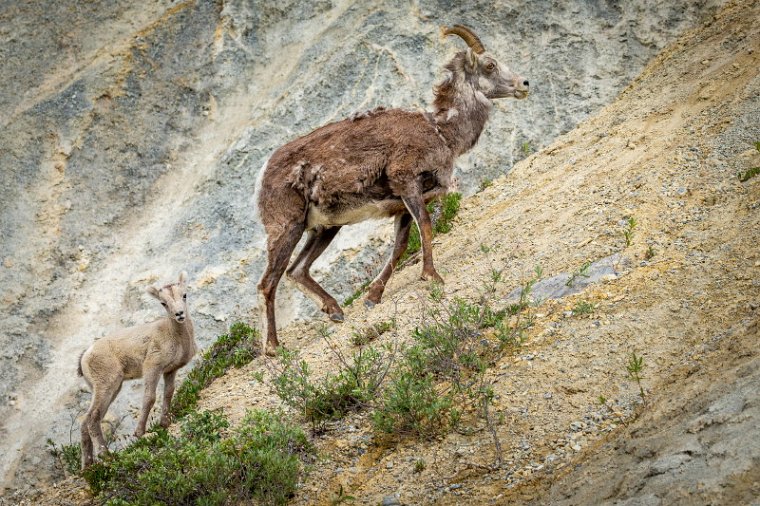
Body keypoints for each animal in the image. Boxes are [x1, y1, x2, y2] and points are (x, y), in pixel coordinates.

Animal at [76, 272, 196, 466]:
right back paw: (105, 455)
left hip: (111, 388)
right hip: (106, 384)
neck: (175, 337)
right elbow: (149, 398)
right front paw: (139, 432)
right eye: (163, 303)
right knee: (92, 417)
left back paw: (88, 465)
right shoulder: (152, 368)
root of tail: (85, 356)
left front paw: (165, 422)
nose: (179, 314)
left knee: (87, 420)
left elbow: (168, 392)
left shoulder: (170, 370)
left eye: (184, 295)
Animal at [255, 25, 528, 354]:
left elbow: (399, 247)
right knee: (269, 281)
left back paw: (336, 312)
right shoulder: (406, 182)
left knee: (296, 271)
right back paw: (273, 347)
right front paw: (432, 276)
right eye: (489, 65)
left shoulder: (403, 205)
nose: (524, 84)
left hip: (324, 229)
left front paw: (373, 297)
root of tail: (264, 173)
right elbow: (426, 227)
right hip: (287, 229)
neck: (441, 133)